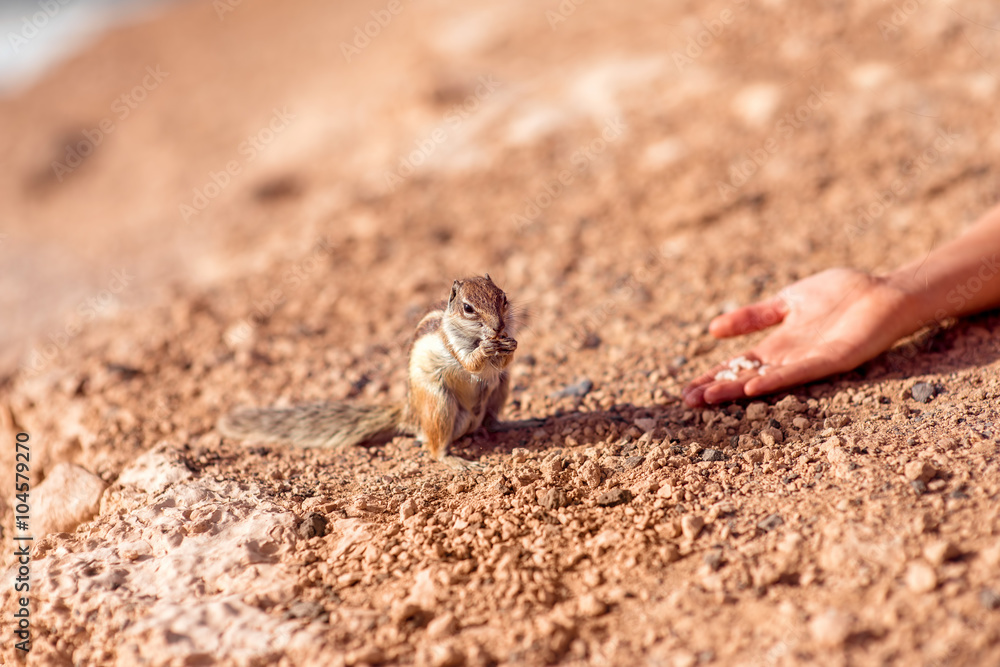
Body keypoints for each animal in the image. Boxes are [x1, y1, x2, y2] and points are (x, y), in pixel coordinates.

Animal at [216, 272, 520, 470]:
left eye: (503, 297)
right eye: (468, 308)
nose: (498, 327)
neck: (477, 336)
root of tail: (410, 414)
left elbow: (503, 362)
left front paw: (511, 344)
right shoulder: (453, 344)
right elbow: (470, 363)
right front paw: (485, 350)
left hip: (501, 387)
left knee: (491, 419)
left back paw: (515, 424)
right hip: (439, 404)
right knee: (435, 448)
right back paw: (455, 460)